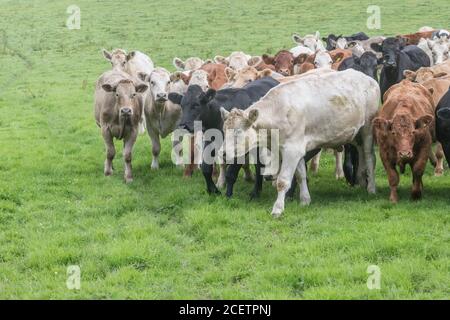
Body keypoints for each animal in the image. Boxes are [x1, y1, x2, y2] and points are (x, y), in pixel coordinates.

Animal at [221, 69, 380, 216]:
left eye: (238, 131)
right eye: (224, 129)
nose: (222, 153)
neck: (279, 110)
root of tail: (367, 78)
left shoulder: (292, 150)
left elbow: (283, 181)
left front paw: (277, 209)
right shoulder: (295, 150)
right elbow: (300, 175)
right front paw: (305, 200)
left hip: (367, 130)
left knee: (369, 157)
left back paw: (371, 188)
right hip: (356, 135)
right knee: (361, 154)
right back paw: (361, 181)